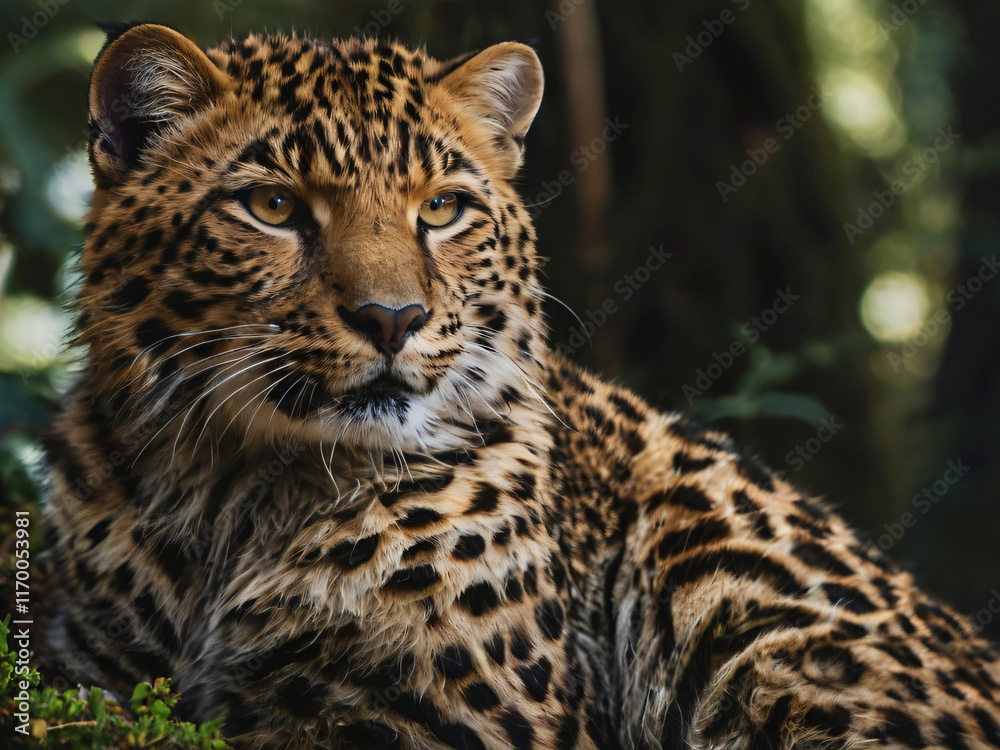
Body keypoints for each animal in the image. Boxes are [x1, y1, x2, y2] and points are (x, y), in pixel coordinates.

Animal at [36, 20, 1000, 750]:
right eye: (272, 207)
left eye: (440, 209)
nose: (392, 318)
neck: (240, 495)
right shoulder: (91, 675)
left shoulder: (456, 723)